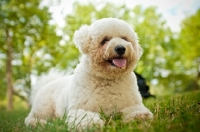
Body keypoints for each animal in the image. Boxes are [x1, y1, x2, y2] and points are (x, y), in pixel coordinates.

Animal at [25, 17, 153, 128]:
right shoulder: (78, 109)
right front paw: (91, 124)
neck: (109, 79)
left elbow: (135, 110)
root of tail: (47, 82)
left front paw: (141, 117)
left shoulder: (131, 104)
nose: (121, 48)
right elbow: (85, 117)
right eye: (105, 40)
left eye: (125, 38)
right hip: (43, 108)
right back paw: (39, 123)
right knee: (30, 118)